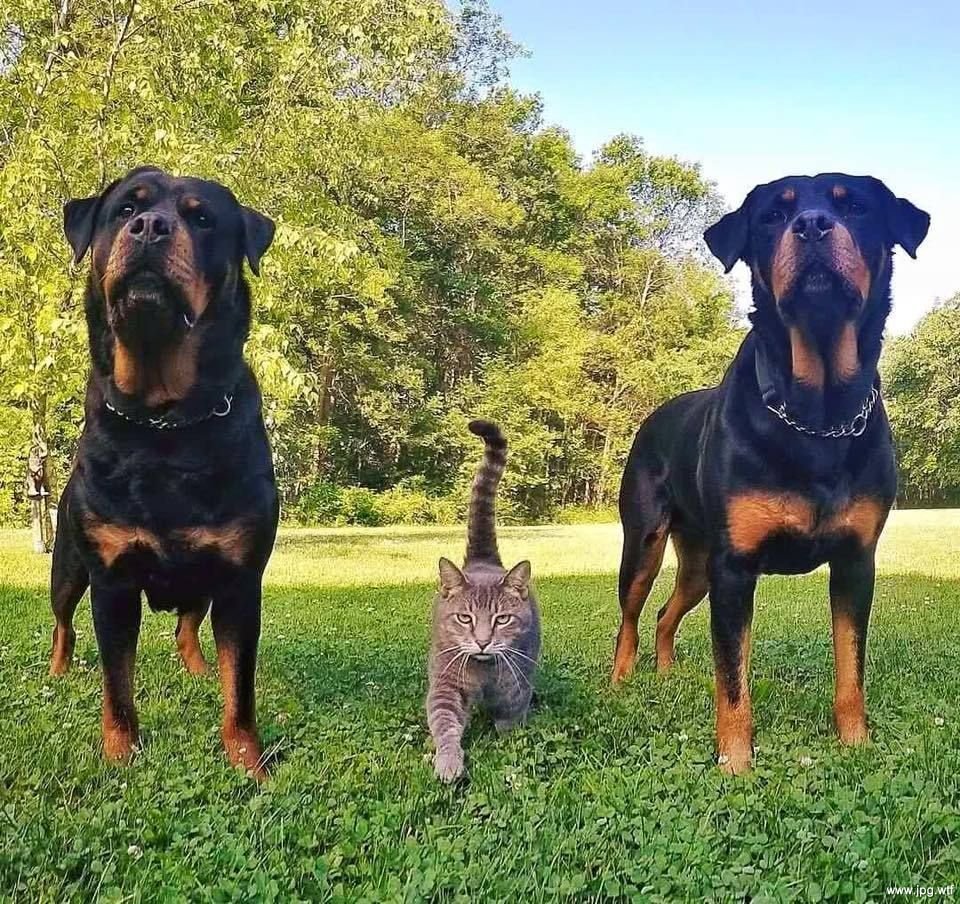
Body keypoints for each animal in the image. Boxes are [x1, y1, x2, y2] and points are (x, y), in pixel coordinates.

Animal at [426, 420, 540, 780]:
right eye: (465, 618)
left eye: (502, 619)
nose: (482, 641)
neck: (484, 672)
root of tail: (483, 559)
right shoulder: (446, 684)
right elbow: (445, 724)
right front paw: (449, 761)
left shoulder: (516, 684)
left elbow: (511, 717)